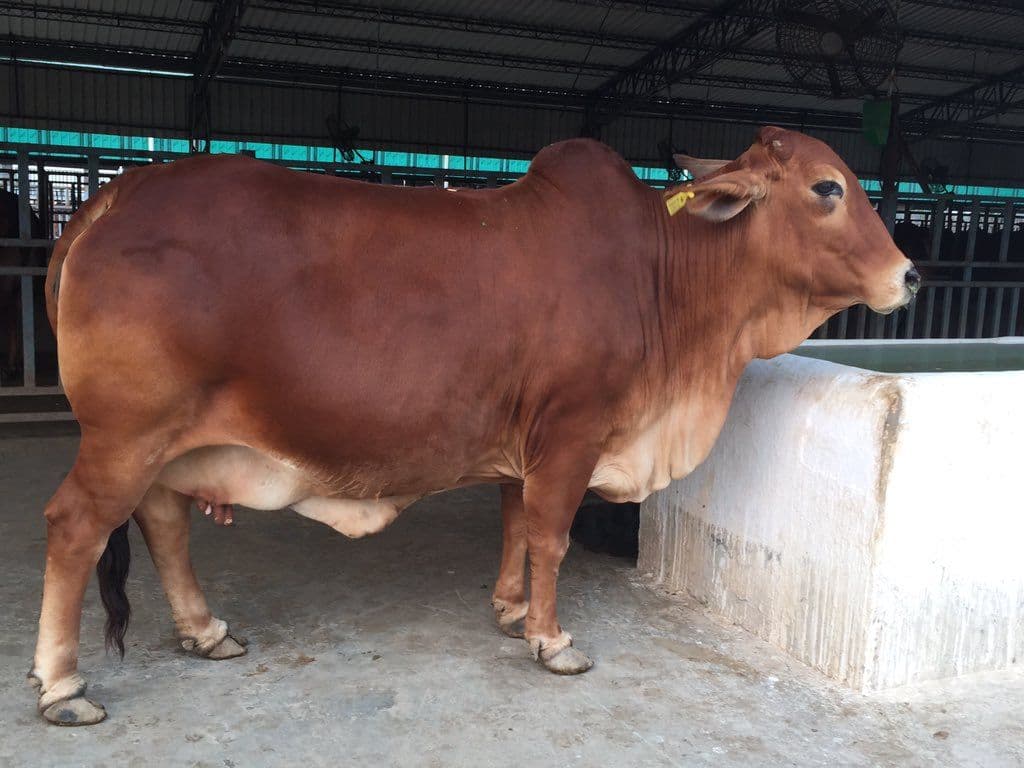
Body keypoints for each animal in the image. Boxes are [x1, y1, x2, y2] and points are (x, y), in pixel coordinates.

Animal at [28, 127, 919, 725]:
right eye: (828, 188)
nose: (908, 275)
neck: (667, 279)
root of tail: (110, 200)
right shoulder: (572, 431)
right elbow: (551, 537)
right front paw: (552, 640)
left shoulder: (526, 443)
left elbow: (516, 525)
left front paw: (512, 612)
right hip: (126, 435)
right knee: (75, 528)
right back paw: (63, 684)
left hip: (165, 443)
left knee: (163, 523)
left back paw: (206, 630)